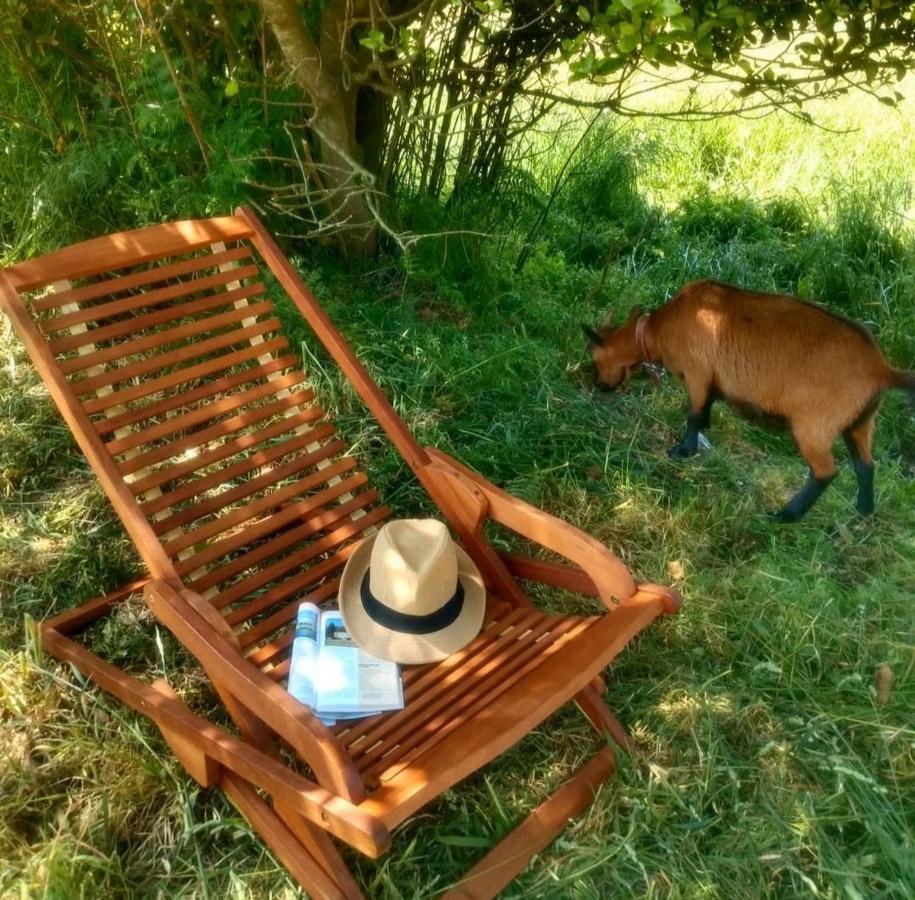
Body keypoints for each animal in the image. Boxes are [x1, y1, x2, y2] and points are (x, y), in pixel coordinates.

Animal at [588, 280, 915, 520]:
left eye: (594, 357)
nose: (599, 385)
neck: (659, 327)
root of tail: (881, 370)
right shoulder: (712, 381)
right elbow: (705, 409)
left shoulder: (697, 372)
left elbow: (693, 413)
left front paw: (683, 450)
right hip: (860, 422)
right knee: (866, 465)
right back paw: (863, 511)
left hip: (814, 426)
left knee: (825, 471)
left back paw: (786, 515)